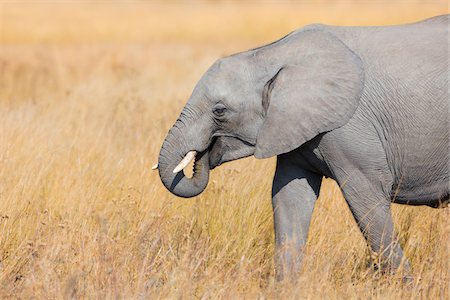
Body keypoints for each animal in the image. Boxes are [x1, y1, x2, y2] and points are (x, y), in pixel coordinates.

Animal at [154, 15, 446, 278]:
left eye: (220, 111)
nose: (201, 156)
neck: (271, 54)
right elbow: (289, 197)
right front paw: (286, 287)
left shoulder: (349, 128)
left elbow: (366, 199)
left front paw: (405, 285)